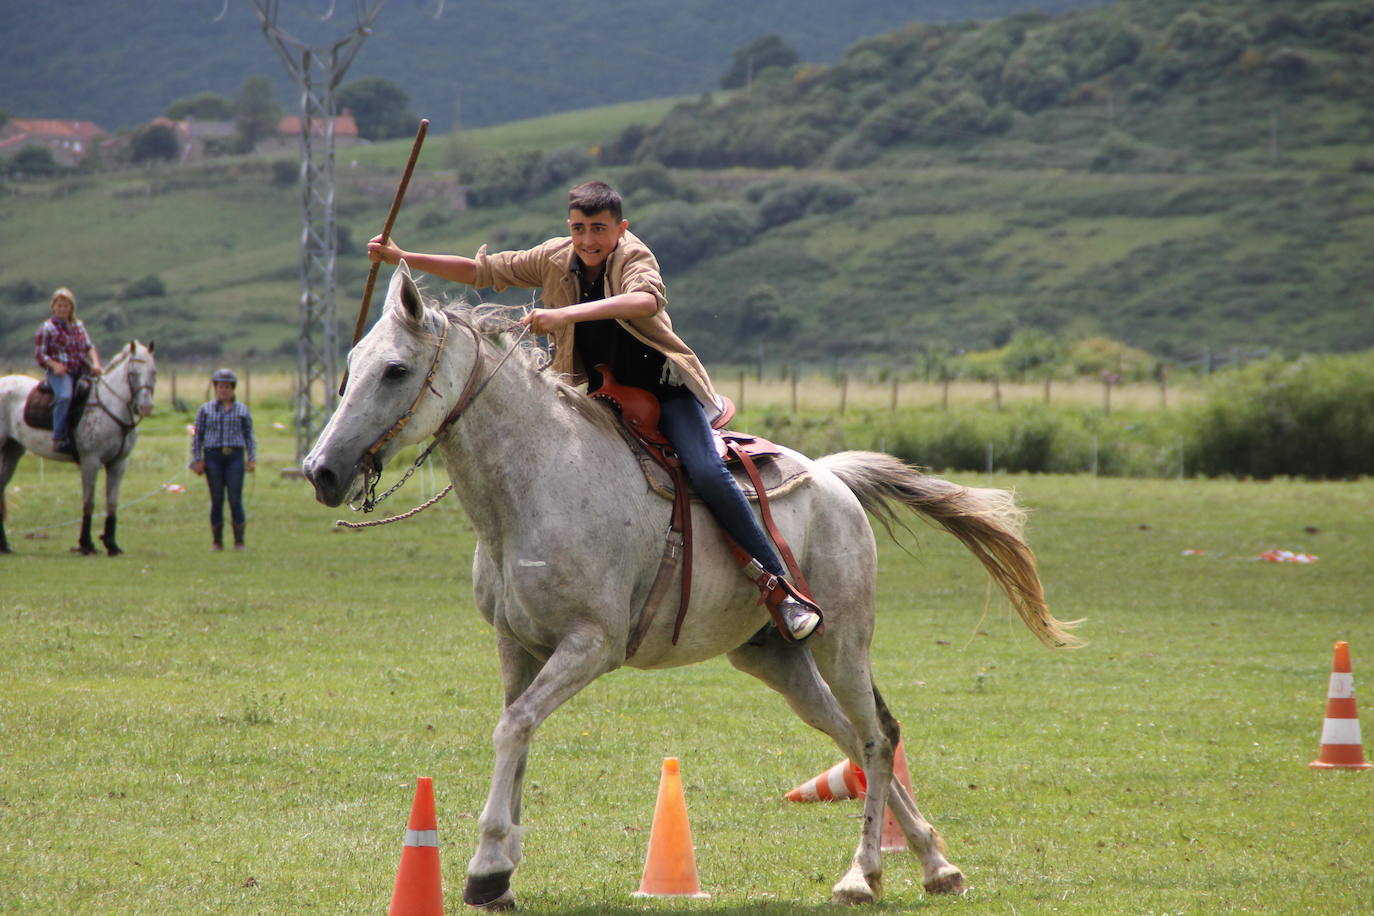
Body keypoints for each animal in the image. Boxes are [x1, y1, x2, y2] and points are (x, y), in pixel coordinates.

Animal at [0, 341, 158, 554]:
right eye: (133, 373)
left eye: (154, 371)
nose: (146, 407)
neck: (110, 407)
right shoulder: (90, 462)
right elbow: (88, 503)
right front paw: (86, 545)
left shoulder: (118, 464)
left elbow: (112, 502)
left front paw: (112, 544)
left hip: (12, 451)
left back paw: (4, 545)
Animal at [303, 265, 1082, 911]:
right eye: (349, 368)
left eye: (395, 369)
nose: (321, 471)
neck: (538, 482)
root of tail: (833, 478)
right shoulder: (518, 645)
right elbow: (516, 734)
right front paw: (502, 871)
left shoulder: (590, 645)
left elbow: (513, 727)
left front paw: (488, 868)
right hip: (775, 658)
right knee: (854, 739)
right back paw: (934, 864)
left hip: (843, 641)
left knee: (876, 736)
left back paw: (862, 874)